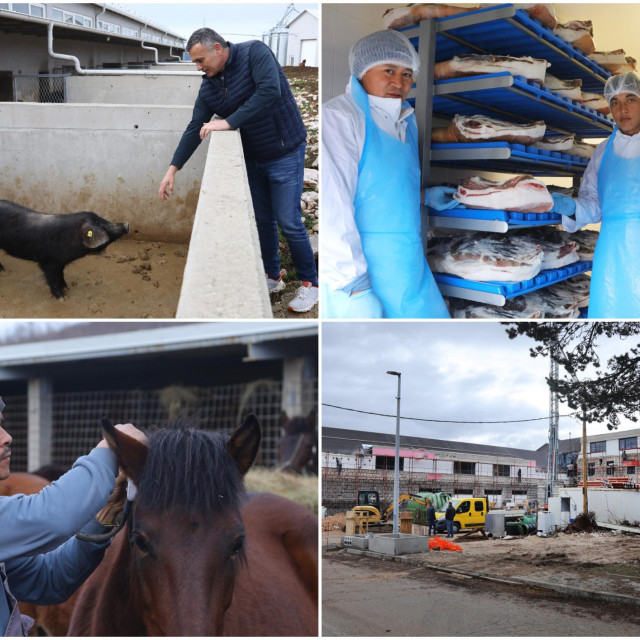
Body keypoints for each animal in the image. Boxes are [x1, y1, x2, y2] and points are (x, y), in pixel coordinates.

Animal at [0, 199, 130, 298]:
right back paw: (3, 270)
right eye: (100, 224)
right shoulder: (48, 262)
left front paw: (67, 288)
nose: (127, 224)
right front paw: (63, 297)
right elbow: (52, 279)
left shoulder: (60, 262)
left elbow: (61, 275)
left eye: (103, 219)